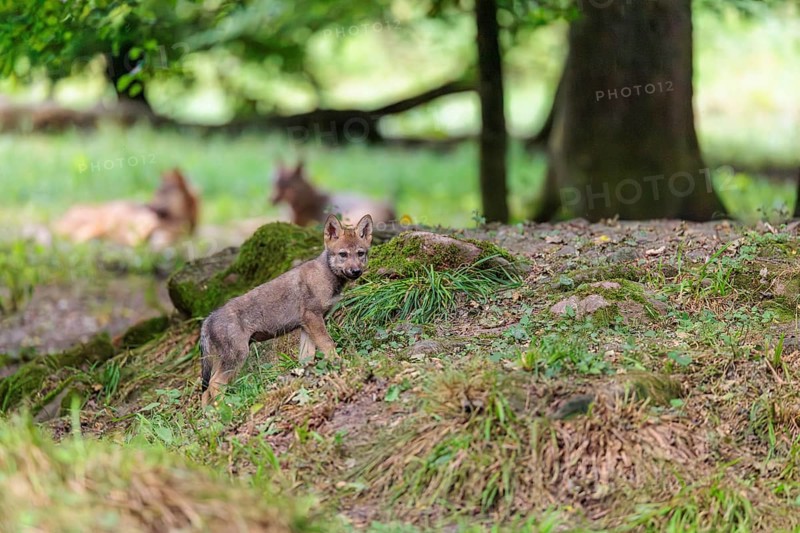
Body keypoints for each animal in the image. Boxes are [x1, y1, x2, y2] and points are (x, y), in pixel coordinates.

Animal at [199, 213, 373, 406]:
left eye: (360, 253)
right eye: (343, 254)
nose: (356, 271)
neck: (325, 275)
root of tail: (208, 319)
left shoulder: (306, 325)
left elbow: (306, 357)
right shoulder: (313, 318)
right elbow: (328, 344)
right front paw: (341, 365)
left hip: (221, 359)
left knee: (205, 392)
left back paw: (213, 414)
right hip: (237, 356)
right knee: (215, 384)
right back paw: (227, 407)